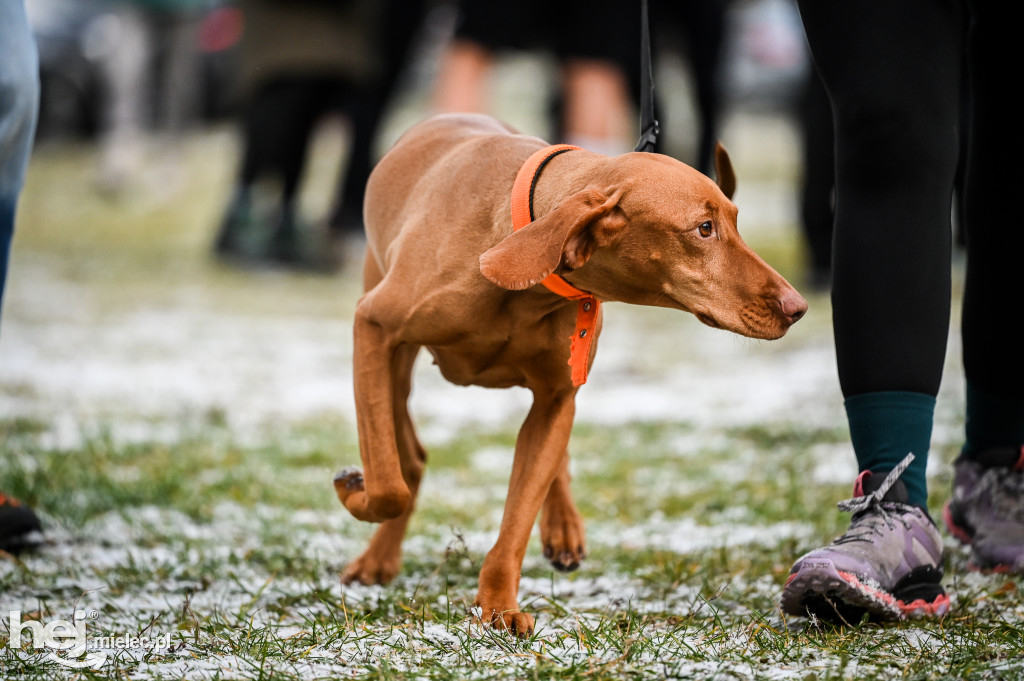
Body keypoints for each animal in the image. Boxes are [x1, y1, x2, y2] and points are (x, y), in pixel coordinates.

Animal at [331, 112, 802, 639]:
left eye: (734, 221)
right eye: (703, 229)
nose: (798, 307)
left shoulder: (557, 396)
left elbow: (519, 516)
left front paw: (498, 608)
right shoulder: (373, 328)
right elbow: (387, 484)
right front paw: (353, 489)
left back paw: (562, 527)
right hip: (392, 355)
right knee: (406, 454)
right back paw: (377, 558)